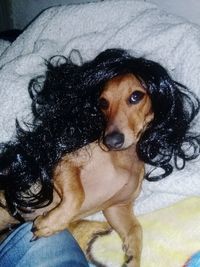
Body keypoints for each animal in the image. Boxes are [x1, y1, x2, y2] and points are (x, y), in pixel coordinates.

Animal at [0, 48, 200, 267]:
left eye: (136, 96)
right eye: (103, 103)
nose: (112, 140)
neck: (122, 159)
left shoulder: (117, 208)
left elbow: (136, 229)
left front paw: (133, 257)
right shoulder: (65, 164)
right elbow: (77, 195)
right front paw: (51, 223)